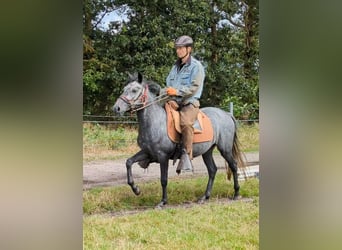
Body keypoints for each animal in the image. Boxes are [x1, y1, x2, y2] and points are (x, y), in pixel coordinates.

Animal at [113, 73, 246, 208]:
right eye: (124, 89)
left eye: (134, 90)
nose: (116, 108)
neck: (155, 122)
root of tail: (226, 114)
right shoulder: (147, 153)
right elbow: (128, 162)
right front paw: (136, 189)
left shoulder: (163, 156)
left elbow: (164, 179)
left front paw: (163, 202)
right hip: (207, 151)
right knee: (212, 170)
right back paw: (205, 197)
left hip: (225, 149)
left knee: (233, 165)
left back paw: (236, 193)